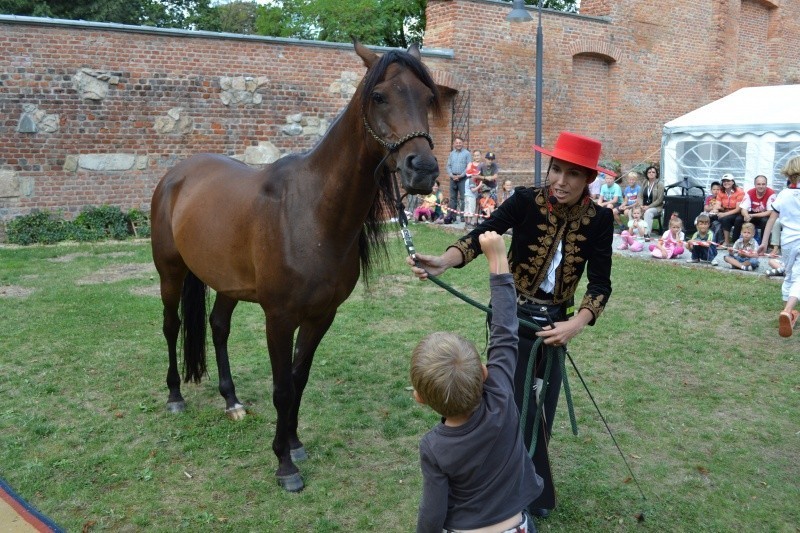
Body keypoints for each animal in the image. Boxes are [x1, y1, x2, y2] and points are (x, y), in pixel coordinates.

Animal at [148, 40, 440, 490]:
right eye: (378, 96)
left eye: (427, 98)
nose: (422, 169)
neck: (312, 211)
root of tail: (175, 175)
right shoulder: (280, 317)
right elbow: (282, 387)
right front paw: (285, 464)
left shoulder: (321, 315)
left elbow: (299, 379)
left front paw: (295, 442)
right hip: (171, 273)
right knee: (171, 325)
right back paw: (175, 397)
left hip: (228, 283)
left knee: (218, 326)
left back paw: (231, 400)